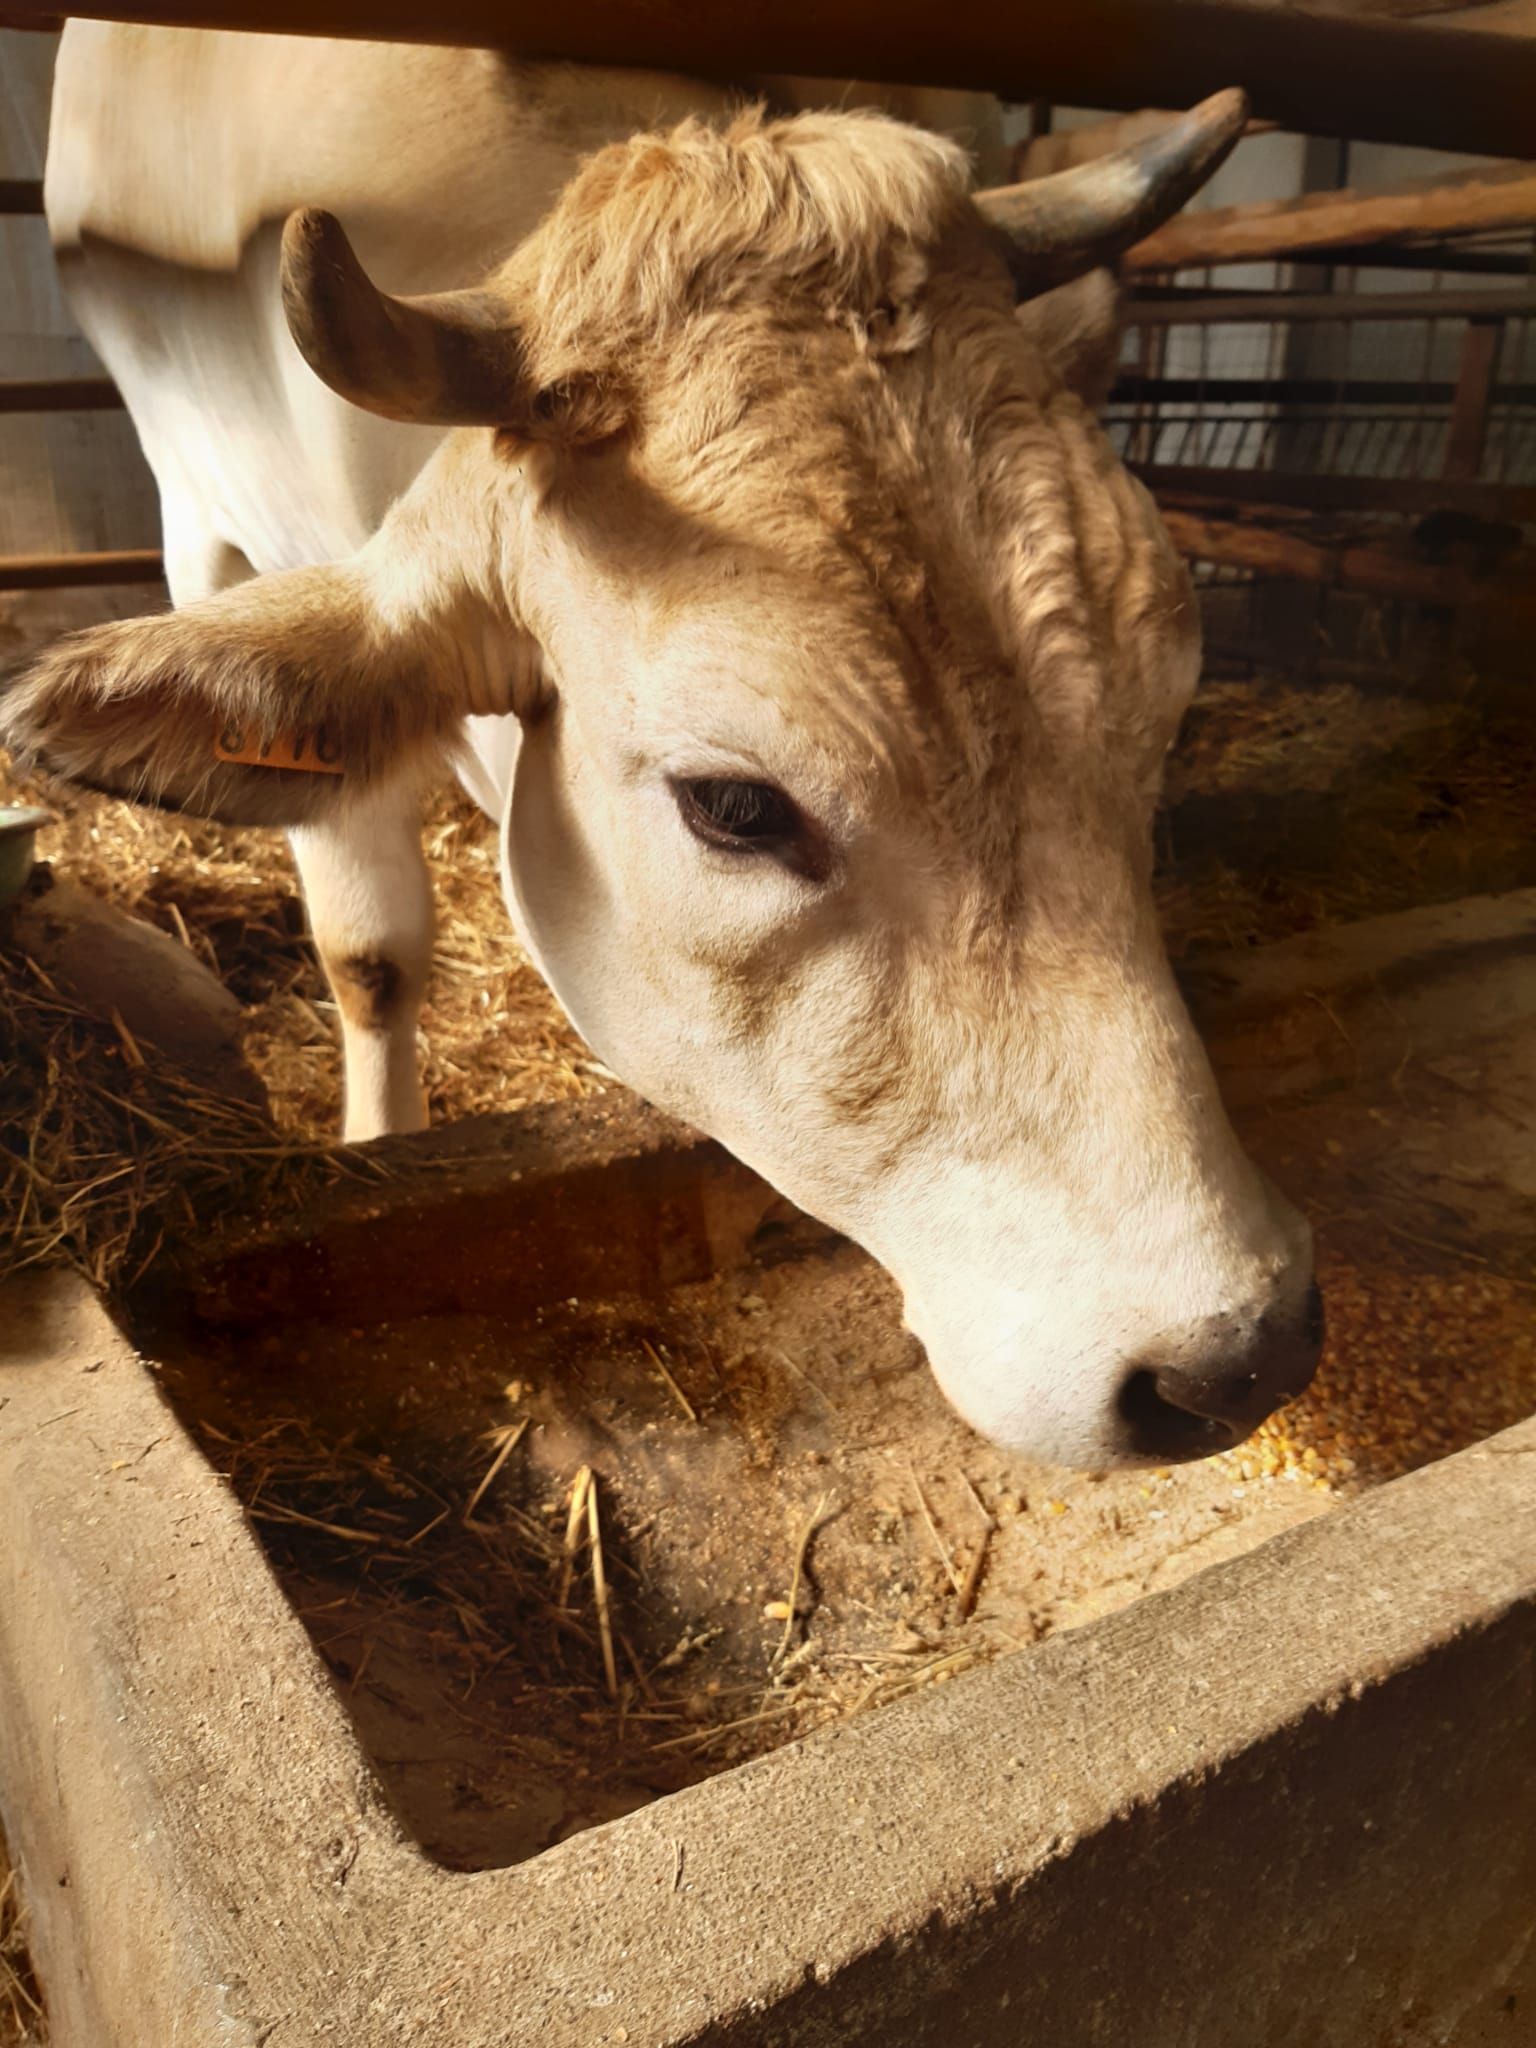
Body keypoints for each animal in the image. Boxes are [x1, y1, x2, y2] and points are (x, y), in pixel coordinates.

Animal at [3, 27, 1322, 1469]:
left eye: (1165, 701)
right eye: (735, 807)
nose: (1236, 1353)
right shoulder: (212, 524)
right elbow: (371, 959)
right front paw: (375, 1143)